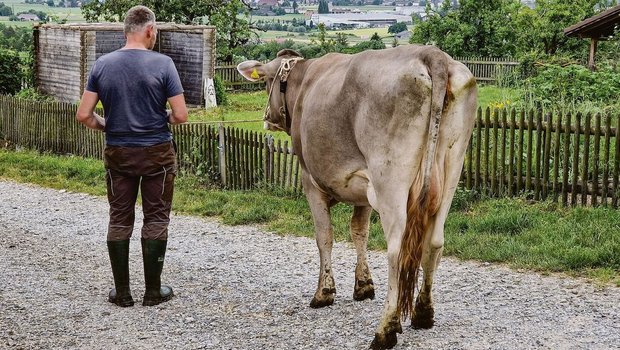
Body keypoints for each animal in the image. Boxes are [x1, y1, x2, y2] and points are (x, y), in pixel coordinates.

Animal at [240, 45, 478, 348]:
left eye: (266, 81)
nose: (267, 119)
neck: (303, 82)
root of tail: (432, 54)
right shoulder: (364, 191)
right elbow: (359, 232)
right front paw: (363, 285)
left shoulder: (310, 181)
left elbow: (324, 236)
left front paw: (324, 292)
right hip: (451, 169)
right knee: (434, 242)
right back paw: (423, 312)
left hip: (390, 178)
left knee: (396, 251)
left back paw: (386, 329)